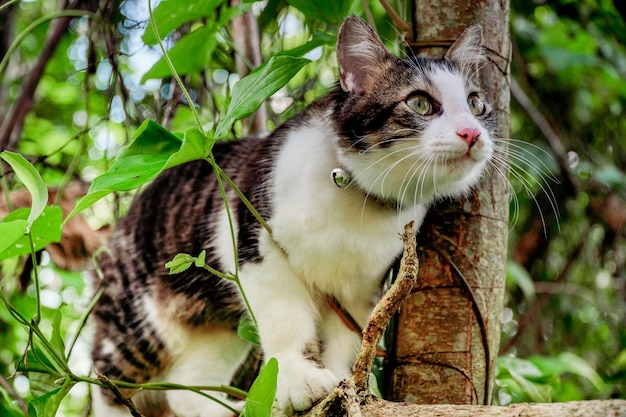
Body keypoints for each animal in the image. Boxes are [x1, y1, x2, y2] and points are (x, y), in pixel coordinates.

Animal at [90, 14, 494, 416]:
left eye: (476, 104)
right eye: (420, 103)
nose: (472, 133)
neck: (362, 202)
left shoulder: (361, 289)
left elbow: (346, 339)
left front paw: (342, 389)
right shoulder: (257, 247)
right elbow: (285, 321)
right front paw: (302, 377)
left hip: (217, 326)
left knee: (186, 386)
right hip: (137, 322)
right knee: (108, 383)